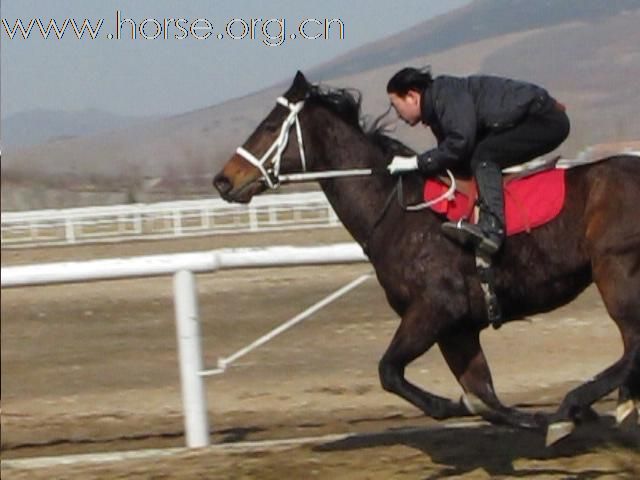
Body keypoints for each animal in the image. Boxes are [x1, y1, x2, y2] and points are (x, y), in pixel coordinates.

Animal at [211, 69, 640, 444]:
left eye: (270, 126)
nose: (222, 180)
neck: (396, 210)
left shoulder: (435, 309)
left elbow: (389, 372)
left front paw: (465, 408)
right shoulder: (458, 329)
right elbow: (485, 397)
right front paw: (526, 417)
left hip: (616, 272)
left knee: (633, 346)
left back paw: (575, 406)